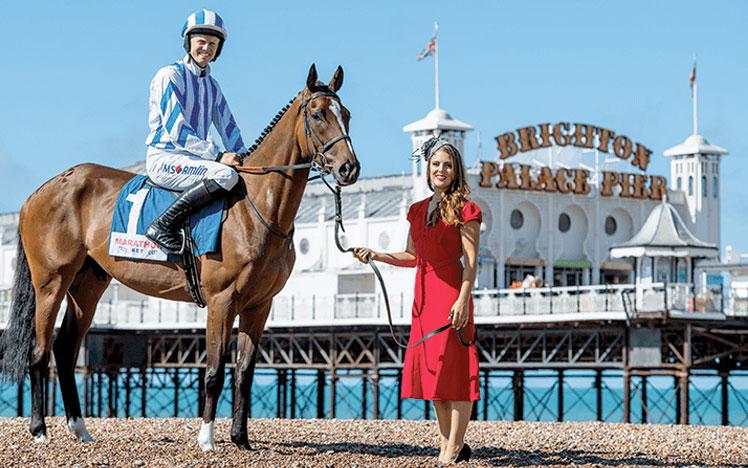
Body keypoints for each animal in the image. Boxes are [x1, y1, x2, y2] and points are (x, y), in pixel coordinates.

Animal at [0, 63, 360, 450]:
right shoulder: (222, 300)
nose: (349, 169)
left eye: (346, 114)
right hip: (51, 283)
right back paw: (39, 429)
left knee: (66, 350)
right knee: (39, 352)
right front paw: (207, 439)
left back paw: (80, 429)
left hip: (88, 284)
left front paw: (241, 439)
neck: (257, 210)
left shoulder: (259, 305)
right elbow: (215, 371)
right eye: (317, 114)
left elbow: (244, 373)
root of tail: (40, 191)